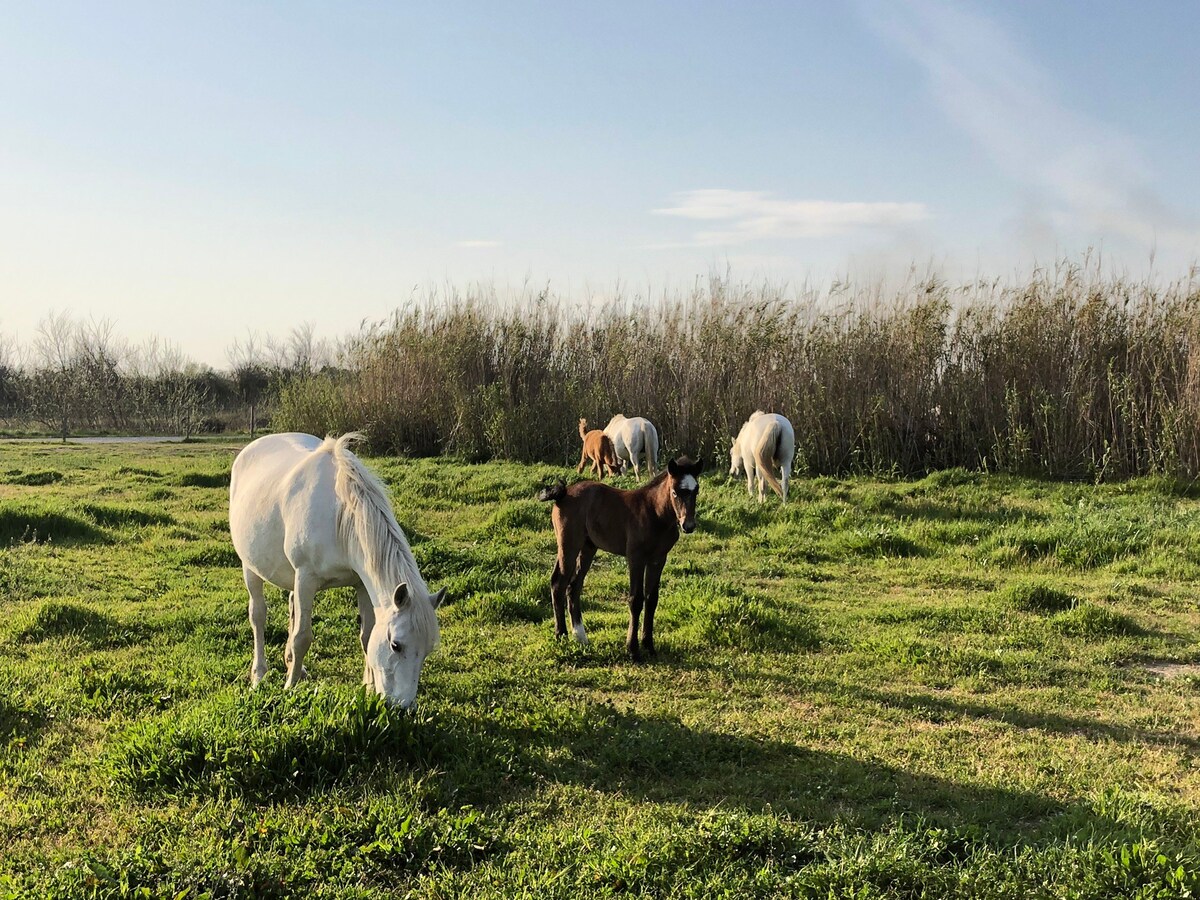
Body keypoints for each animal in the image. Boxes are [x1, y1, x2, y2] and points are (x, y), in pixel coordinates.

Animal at [229, 434, 446, 710]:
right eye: (396, 645)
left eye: (427, 650)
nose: (402, 708)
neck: (340, 518)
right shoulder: (306, 578)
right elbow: (302, 637)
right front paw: (289, 688)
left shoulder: (361, 584)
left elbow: (366, 636)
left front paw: (369, 687)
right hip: (250, 567)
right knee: (258, 615)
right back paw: (259, 674)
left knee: (291, 605)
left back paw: (294, 666)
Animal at [537, 458, 700, 662]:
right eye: (675, 492)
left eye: (696, 490)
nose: (688, 525)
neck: (654, 513)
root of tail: (564, 494)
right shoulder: (636, 558)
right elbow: (636, 600)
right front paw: (633, 650)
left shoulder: (658, 559)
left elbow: (652, 599)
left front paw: (649, 646)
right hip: (569, 546)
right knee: (558, 582)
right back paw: (561, 635)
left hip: (588, 548)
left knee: (574, 586)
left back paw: (581, 637)